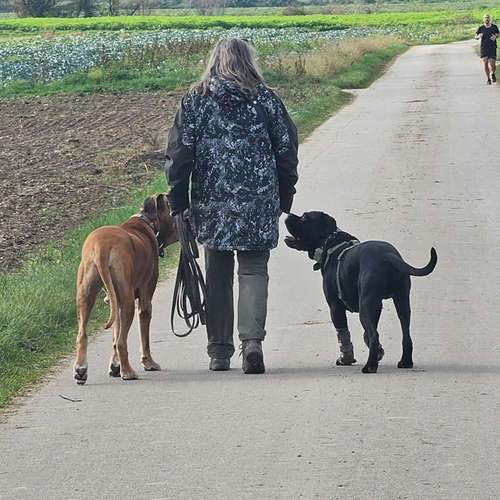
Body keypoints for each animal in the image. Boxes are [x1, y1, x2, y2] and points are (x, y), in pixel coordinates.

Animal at [73, 193, 178, 384]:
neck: (147, 222)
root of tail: (101, 246)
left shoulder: (115, 302)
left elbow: (115, 333)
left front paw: (115, 366)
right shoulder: (145, 300)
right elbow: (143, 338)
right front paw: (149, 363)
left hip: (86, 295)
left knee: (83, 335)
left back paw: (81, 370)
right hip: (128, 302)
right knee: (122, 341)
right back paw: (128, 372)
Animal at [286, 213, 438, 374]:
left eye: (305, 218)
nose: (288, 215)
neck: (329, 242)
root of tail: (388, 256)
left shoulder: (335, 308)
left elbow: (344, 335)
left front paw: (345, 359)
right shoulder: (377, 306)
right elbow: (368, 333)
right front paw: (378, 351)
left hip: (366, 307)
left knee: (375, 335)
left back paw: (370, 366)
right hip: (401, 301)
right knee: (405, 335)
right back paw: (405, 362)